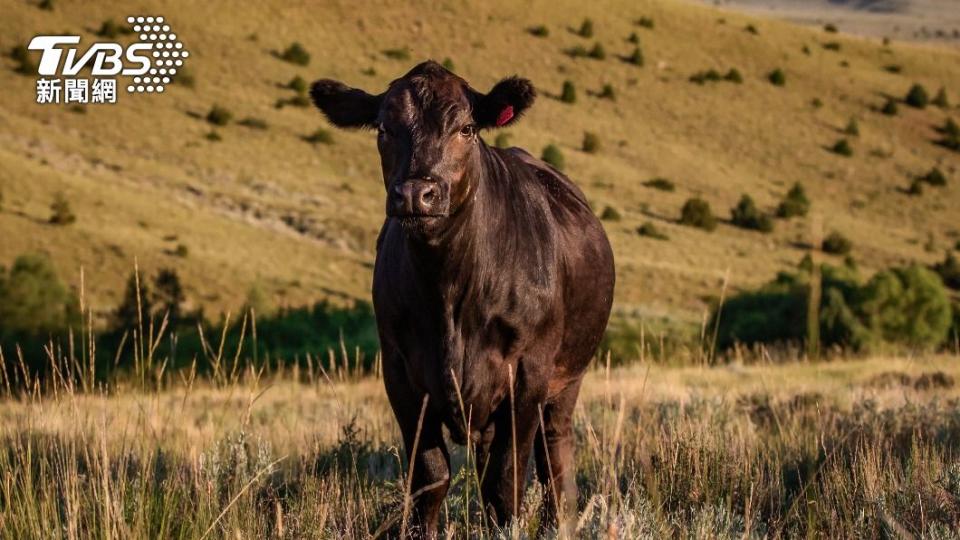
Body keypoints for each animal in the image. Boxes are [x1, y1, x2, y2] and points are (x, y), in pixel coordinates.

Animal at [312, 60, 620, 536]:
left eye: (467, 128)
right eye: (383, 127)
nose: (415, 194)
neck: (448, 294)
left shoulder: (528, 374)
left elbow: (506, 481)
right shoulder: (399, 372)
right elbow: (430, 475)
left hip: (567, 380)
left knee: (554, 456)